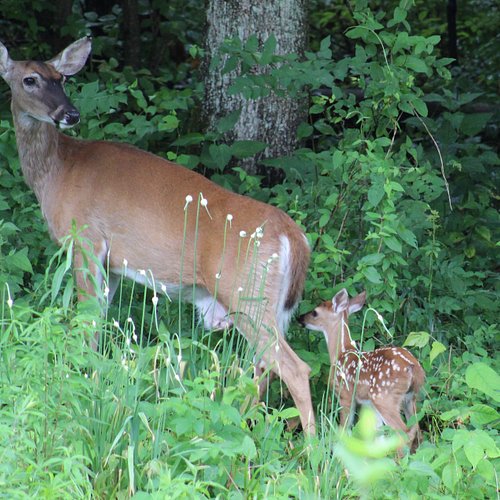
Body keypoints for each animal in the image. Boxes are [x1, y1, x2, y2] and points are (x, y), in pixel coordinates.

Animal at [0, 37, 312, 434]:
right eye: (30, 79)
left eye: (63, 79)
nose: (69, 114)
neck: (57, 171)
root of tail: (293, 235)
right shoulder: (113, 265)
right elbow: (99, 323)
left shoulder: (85, 240)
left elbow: (87, 325)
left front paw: (83, 395)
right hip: (272, 303)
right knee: (262, 365)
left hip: (247, 293)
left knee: (293, 367)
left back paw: (313, 448)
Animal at [300, 290, 426, 450]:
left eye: (315, 312)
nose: (300, 318)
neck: (341, 352)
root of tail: (413, 367)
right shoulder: (368, 404)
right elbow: (376, 436)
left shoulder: (345, 394)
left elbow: (344, 429)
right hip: (409, 398)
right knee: (417, 431)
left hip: (384, 397)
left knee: (403, 433)